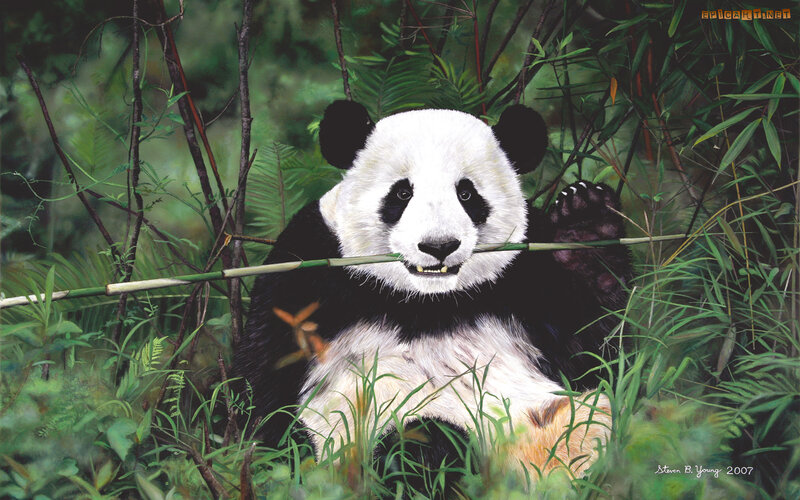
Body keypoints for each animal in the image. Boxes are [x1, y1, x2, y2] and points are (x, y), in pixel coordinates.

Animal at [233, 100, 630, 492]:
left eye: (466, 194)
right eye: (402, 193)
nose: (439, 246)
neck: (427, 301)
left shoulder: (526, 277)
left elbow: (593, 351)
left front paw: (586, 226)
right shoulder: (309, 266)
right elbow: (268, 379)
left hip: (564, 426)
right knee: (420, 440)